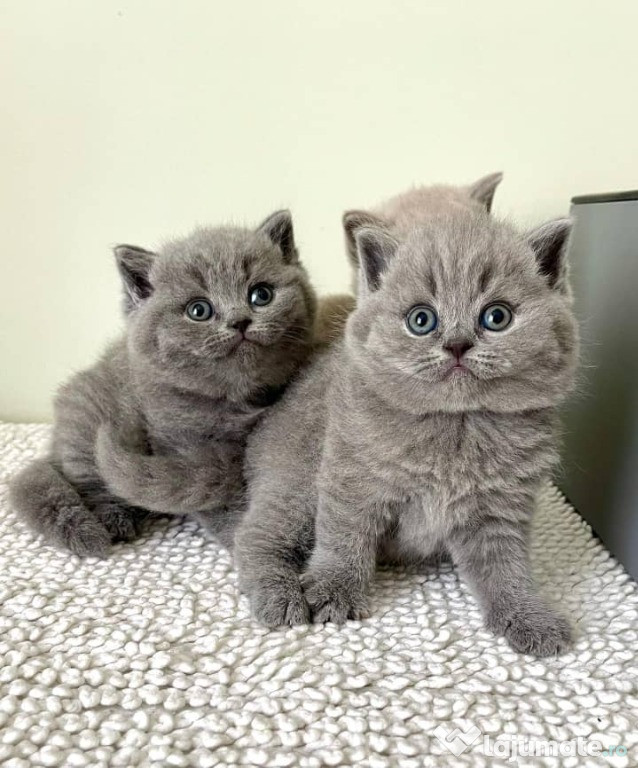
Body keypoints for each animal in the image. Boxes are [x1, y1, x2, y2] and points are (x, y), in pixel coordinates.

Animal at [11, 210, 316, 560]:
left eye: (261, 294)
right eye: (199, 310)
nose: (239, 321)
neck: (234, 401)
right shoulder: (180, 446)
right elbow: (210, 497)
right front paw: (239, 534)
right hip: (87, 416)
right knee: (88, 477)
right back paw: (113, 520)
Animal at [238, 207, 584, 656]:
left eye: (497, 317)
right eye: (421, 320)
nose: (457, 344)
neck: (456, 425)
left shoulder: (500, 508)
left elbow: (505, 566)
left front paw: (529, 616)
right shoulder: (352, 477)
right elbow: (344, 535)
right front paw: (333, 589)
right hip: (294, 481)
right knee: (255, 536)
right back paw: (280, 597)